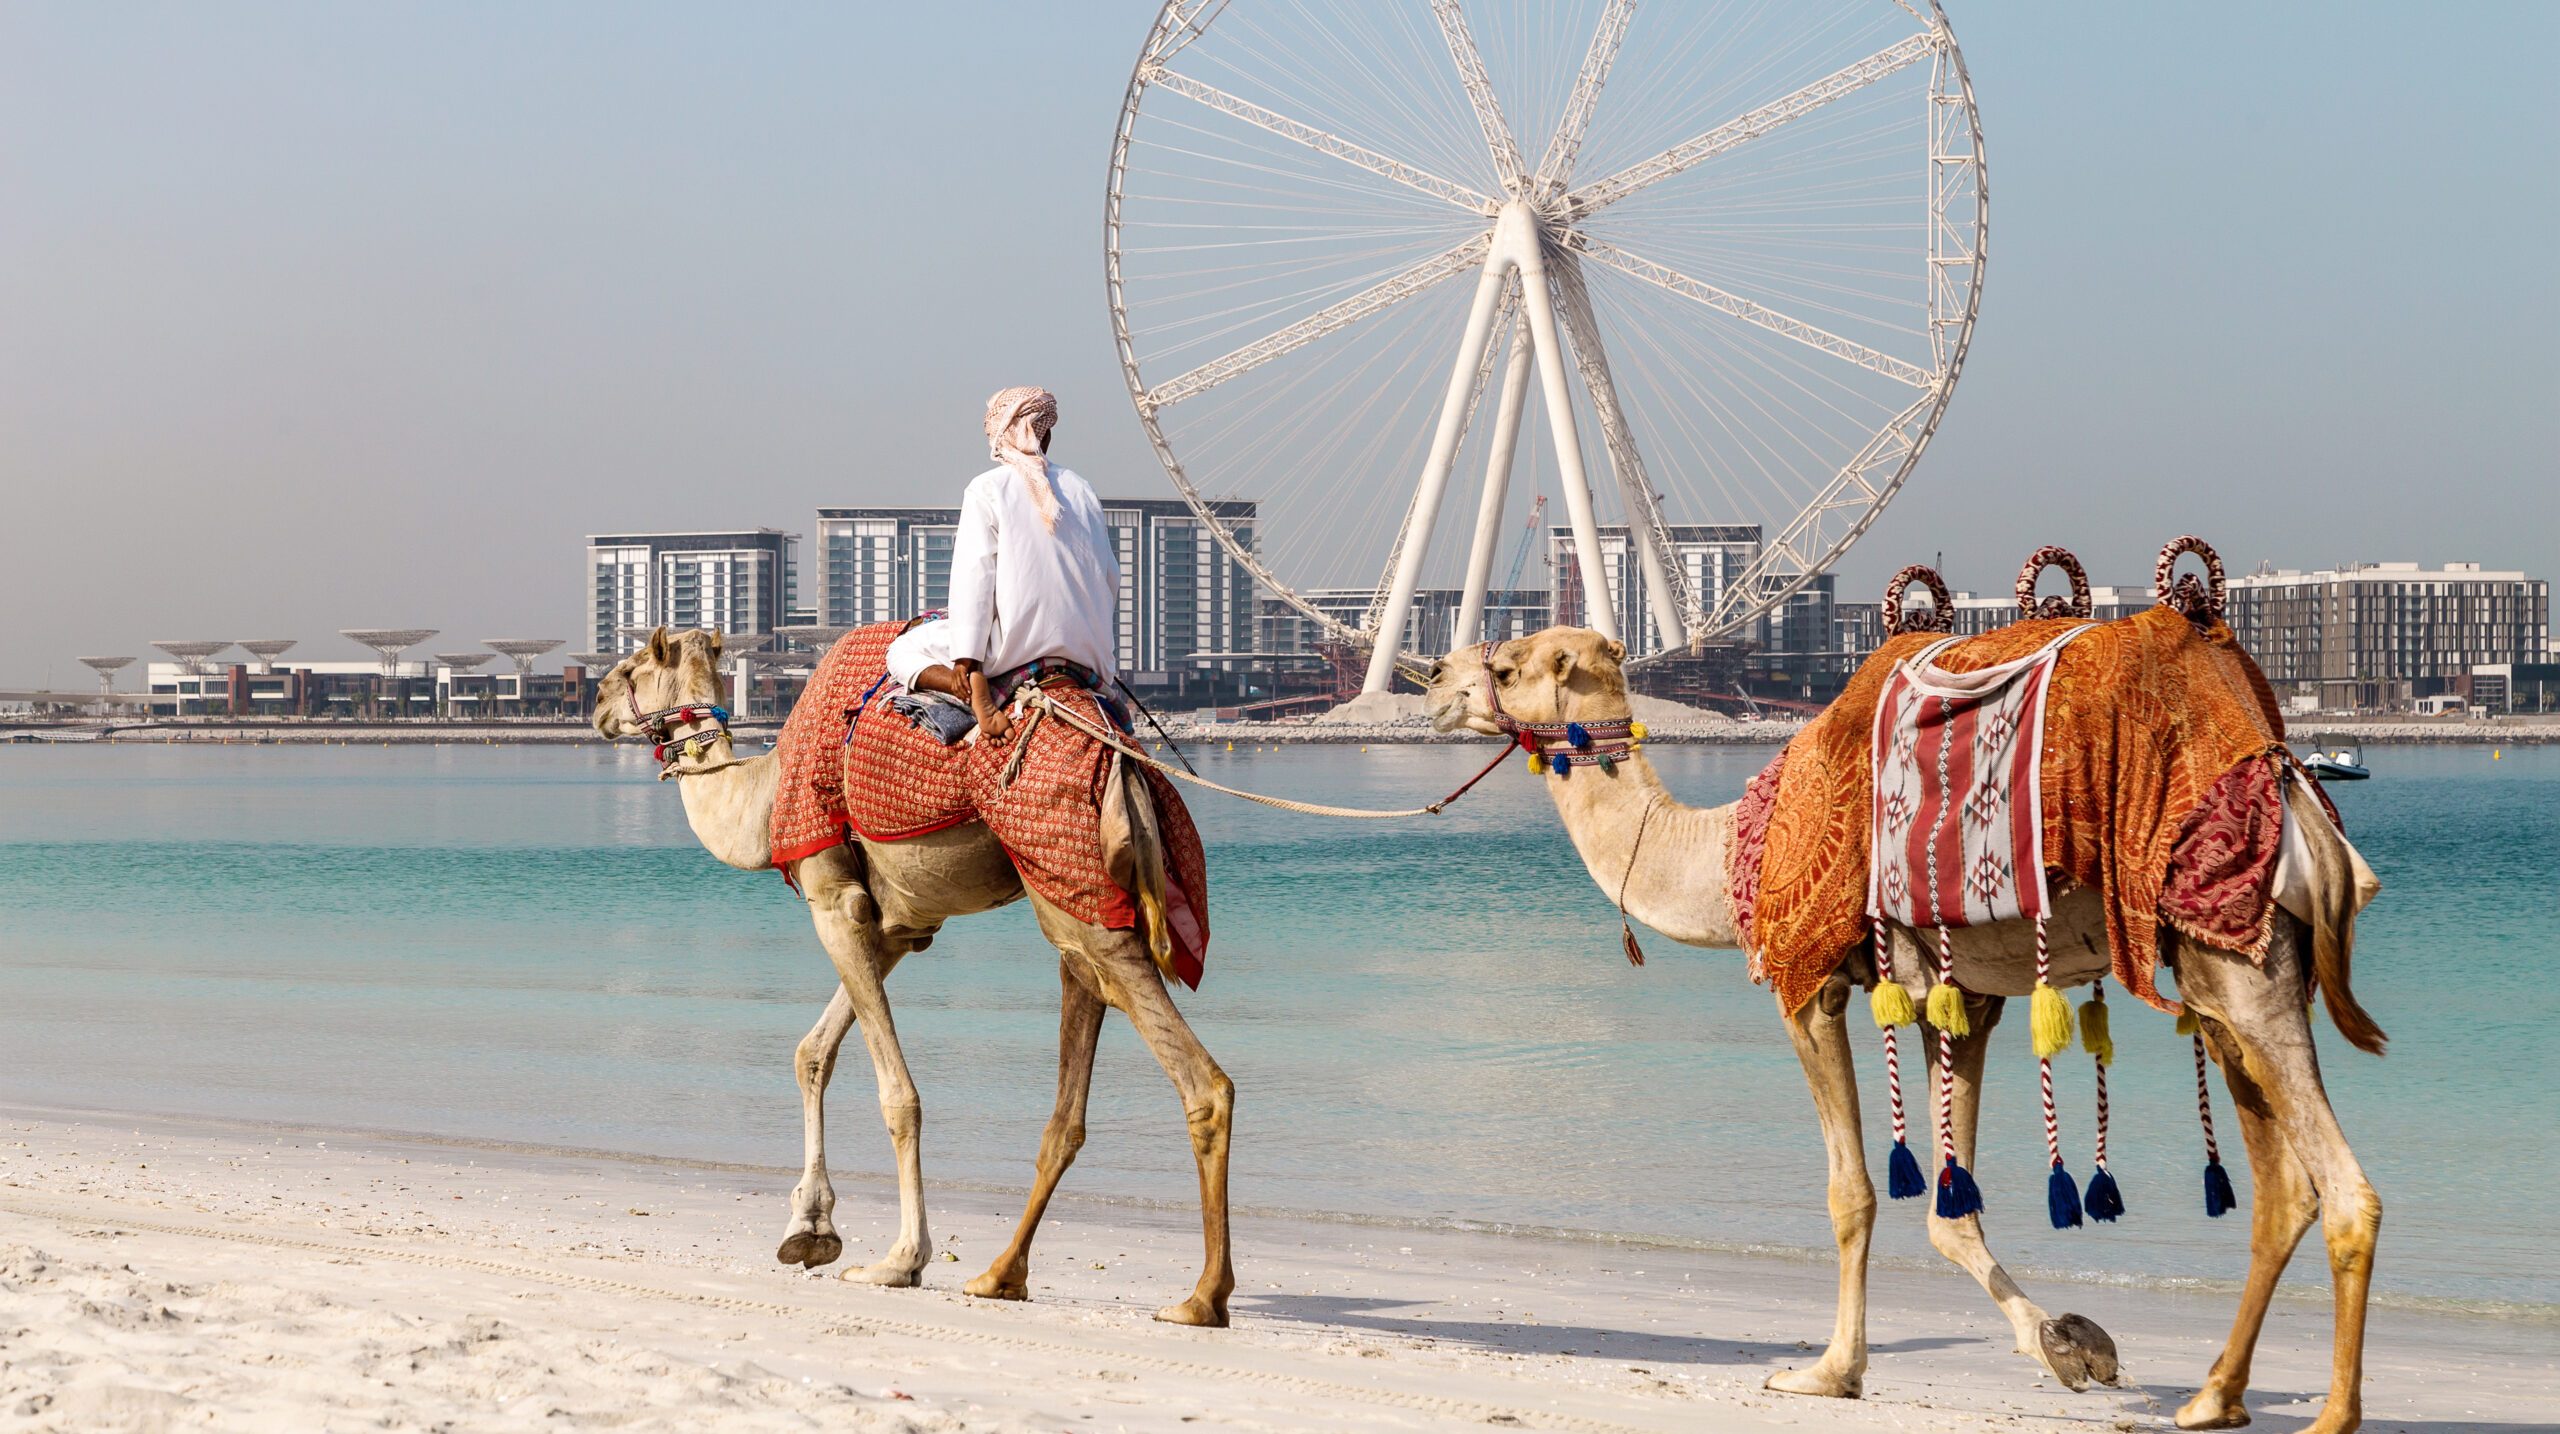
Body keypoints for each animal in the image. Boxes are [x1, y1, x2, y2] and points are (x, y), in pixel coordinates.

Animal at [592, 627, 1235, 1327]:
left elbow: (897, 1096)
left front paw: (900, 1259)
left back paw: (1202, 1297)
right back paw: (1002, 1275)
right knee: (1075, 1079)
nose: (596, 701)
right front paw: (808, 1228)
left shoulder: (834, 899)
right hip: (1073, 894)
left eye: (635, 665)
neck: (762, 802)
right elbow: (812, 1053)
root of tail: (1124, 762)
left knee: (1201, 1079)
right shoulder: (900, 926)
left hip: (1078, 891)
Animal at [1427, 627, 2385, 1434]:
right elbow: (1951, 1212)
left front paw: (1828, 1372)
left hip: (2236, 956)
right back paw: (2214, 1398)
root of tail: (2300, 797)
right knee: (2284, 1189)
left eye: (1506, 665)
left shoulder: (1807, 980)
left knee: (2346, 1190)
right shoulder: (1960, 998)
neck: (1730, 849)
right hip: (2226, 979)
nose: (1431, 677)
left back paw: (2331, 1416)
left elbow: (1851, 1193)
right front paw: (2070, 1345)